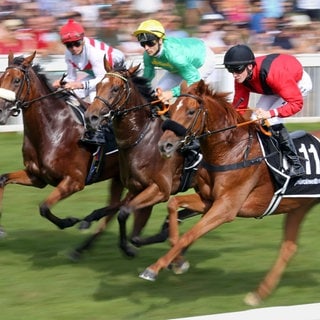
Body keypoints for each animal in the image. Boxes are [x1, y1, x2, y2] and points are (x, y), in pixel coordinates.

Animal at [83, 57, 205, 258]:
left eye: (115, 89)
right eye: (98, 85)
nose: (90, 117)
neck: (141, 139)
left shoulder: (159, 190)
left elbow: (124, 214)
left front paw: (128, 247)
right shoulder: (136, 189)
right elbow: (121, 212)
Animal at [140, 79, 320, 304]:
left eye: (191, 111)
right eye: (171, 110)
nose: (165, 145)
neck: (231, 150)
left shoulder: (227, 207)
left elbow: (189, 234)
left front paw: (154, 268)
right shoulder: (209, 200)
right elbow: (174, 204)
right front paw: (178, 261)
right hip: (299, 206)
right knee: (289, 247)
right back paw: (259, 293)